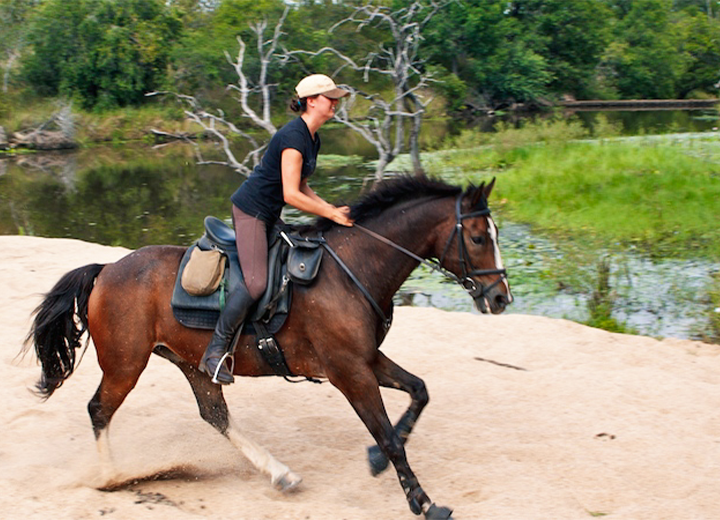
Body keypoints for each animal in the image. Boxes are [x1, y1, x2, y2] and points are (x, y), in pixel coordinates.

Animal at [25, 174, 512, 519]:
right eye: (477, 238)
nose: (501, 298)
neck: (355, 269)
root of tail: (106, 269)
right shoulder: (349, 371)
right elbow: (390, 436)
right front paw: (425, 503)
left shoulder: (367, 359)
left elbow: (419, 392)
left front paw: (375, 462)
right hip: (126, 363)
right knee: (99, 410)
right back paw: (112, 478)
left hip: (194, 363)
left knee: (215, 415)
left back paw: (281, 474)